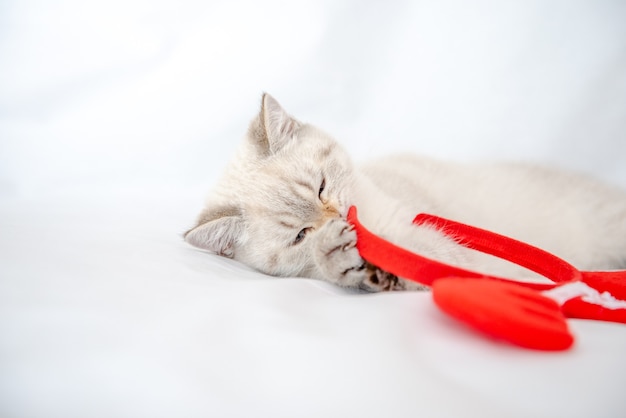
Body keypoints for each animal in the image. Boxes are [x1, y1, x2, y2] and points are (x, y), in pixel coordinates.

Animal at [184, 93, 624, 292]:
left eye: (322, 187)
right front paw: (346, 261)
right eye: (300, 235)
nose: (337, 219)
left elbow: (419, 256)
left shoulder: (447, 247)